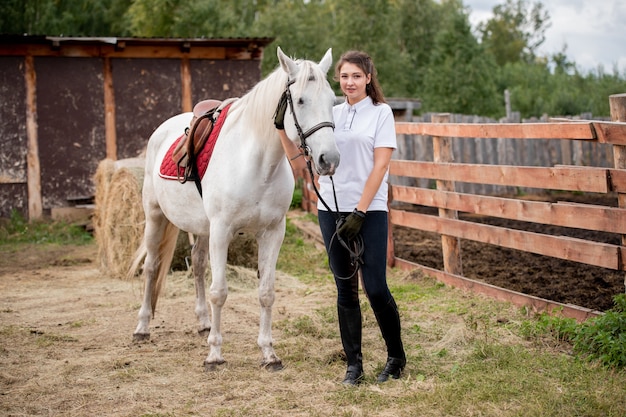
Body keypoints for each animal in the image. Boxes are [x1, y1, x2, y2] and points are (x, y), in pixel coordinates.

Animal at [127, 47, 338, 368]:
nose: (330, 159)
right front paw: (214, 355)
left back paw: (203, 323)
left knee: (197, 264)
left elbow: (266, 293)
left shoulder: (272, 233)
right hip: (155, 216)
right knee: (151, 266)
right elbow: (220, 292)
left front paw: (268, 353)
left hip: (202, 229)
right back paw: (142, 327)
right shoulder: (222, 231)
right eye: (301, 100)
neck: (258, 164)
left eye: (332, 100)